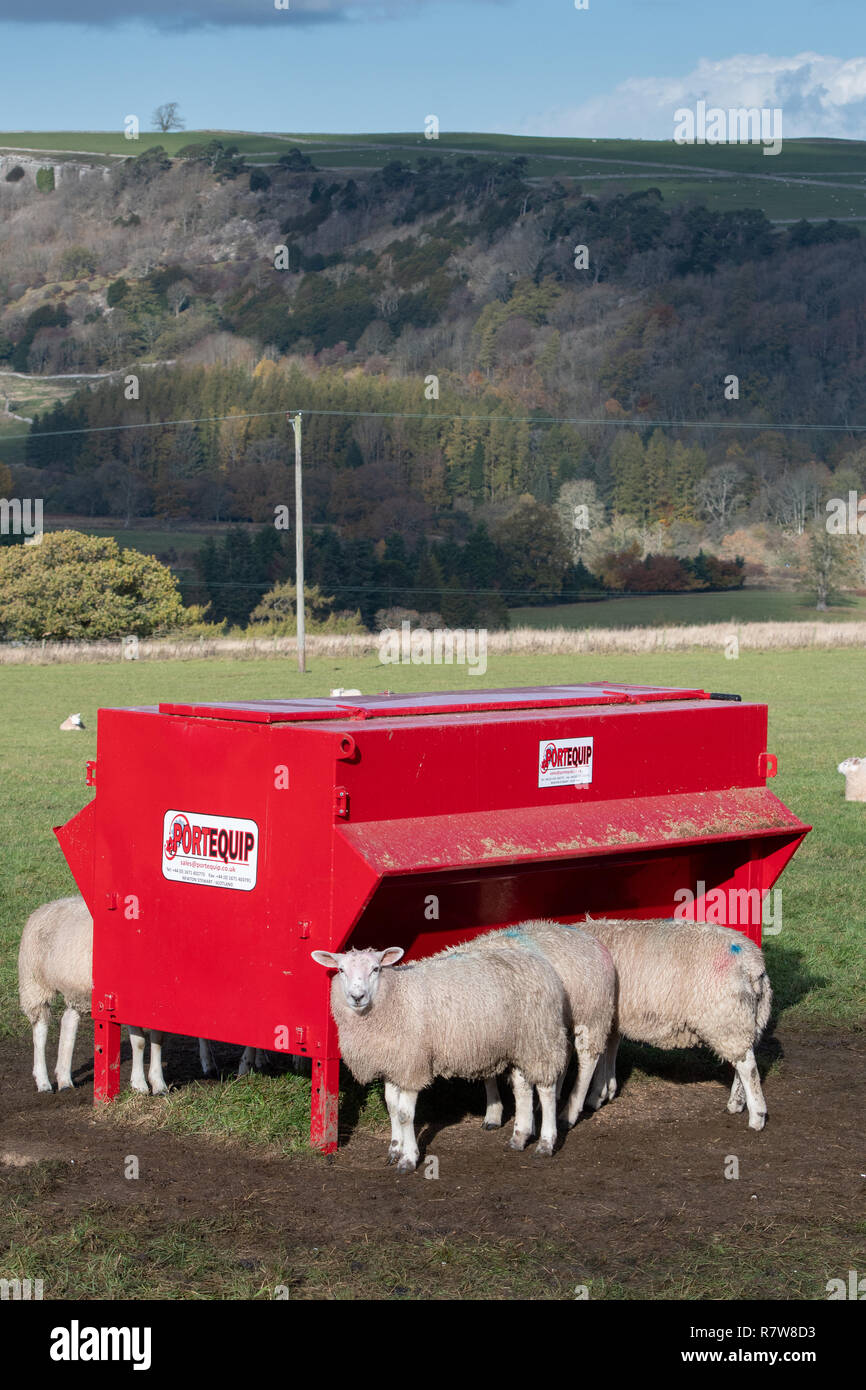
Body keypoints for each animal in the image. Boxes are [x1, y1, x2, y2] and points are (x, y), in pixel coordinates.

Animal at [18, 896, 213, 1094]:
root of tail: (48, 905)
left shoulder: (157, 1005)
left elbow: (158, 1039)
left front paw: (159, 1084)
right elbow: (139, 1042)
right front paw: (140, 1085)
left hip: (77, 990)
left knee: (68, 1022)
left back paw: (64, 1079)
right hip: (34, 982)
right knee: (40, 1029)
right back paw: (43, 1082)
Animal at [311, 943, 569, 1171]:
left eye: (375, 969)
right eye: (341, 970)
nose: (357, 996)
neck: (395, 996)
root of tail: (538, 961)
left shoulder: (412, 1065)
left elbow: (405, 1114)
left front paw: (408, 1158)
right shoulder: (394, 1063)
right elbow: (392, 1107)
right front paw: (395, 1149)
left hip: (540, 1037)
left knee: (546, 1089)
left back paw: (546, 1143)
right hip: (518, 1043)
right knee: (522, 1087)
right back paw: (519, 1137)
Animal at [580, 917, 772, 1131]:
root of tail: (753, 964)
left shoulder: (599, 1016)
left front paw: (595, 1096)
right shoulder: (613, 1019)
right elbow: (609, 1051)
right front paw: (606, 1090)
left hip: (726, 1020)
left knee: (748, 1068)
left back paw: (757, 1117)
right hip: (749, 1019)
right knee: (744, 1060)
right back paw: (736, 1104)